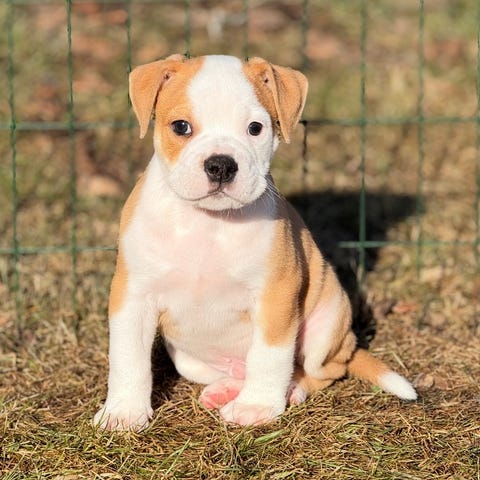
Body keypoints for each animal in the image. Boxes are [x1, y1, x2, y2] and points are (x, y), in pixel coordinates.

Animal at [94, 54, 417, 430]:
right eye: (181, 127)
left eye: (255, 128)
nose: (221, 165)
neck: (209, 222)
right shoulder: (133, 295)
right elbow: (128, 356)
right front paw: (123, 412)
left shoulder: (276, 294)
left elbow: (270, 355)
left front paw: (257, 407)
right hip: (190, 359)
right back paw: (226, 387)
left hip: (329, 321)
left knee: (318, 370)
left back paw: (286, 389)